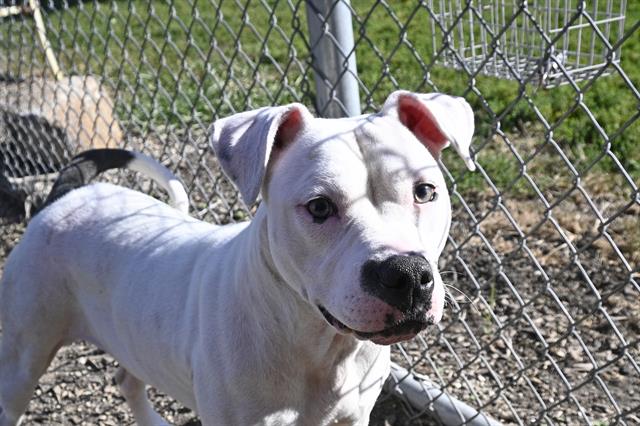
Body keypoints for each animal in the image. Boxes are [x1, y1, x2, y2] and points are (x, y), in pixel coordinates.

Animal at [1, 90, 476, 426]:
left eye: (425, 192)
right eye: (320, 207)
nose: (407, 274)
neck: (316, 344)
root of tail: (66, 194)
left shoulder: (352, 416)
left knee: (127, 377)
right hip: (22, 360)